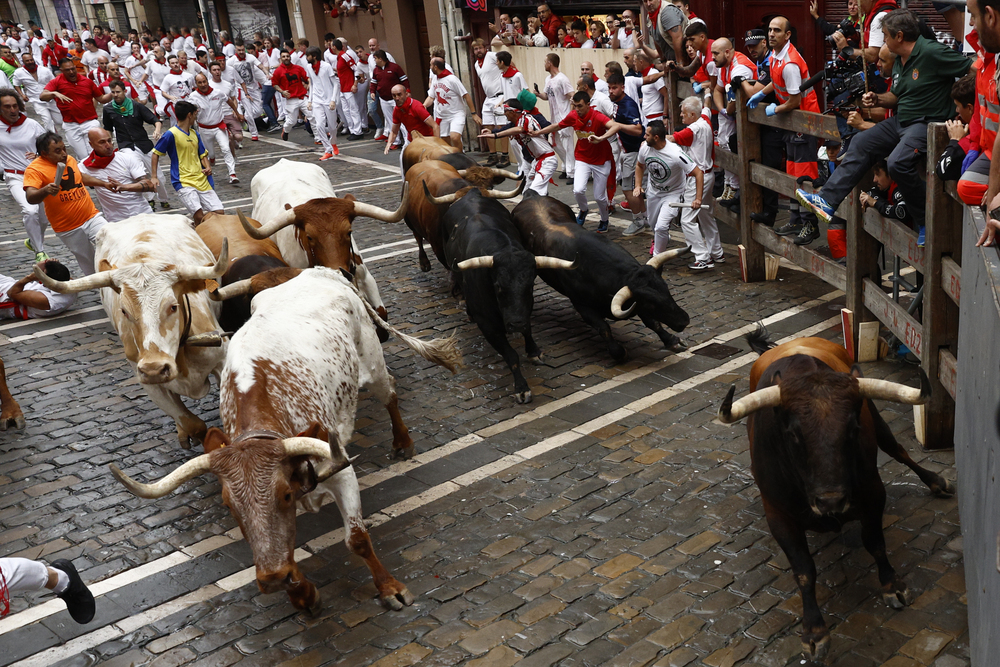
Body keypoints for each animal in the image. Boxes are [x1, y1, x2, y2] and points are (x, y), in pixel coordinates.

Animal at [33, 218, 229, 448]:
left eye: (173, 307)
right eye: (124, 311)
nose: (154, 368)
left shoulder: (223, 360)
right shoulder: (149, 383)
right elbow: (192, 424)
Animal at [111, 268, 462, 612]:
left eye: (285, 495)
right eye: (229, 505)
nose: (273, 579)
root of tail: (320, 271)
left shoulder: (341, 470)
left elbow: (357, 540)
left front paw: (390, 587)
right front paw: (301, 591)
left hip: (372, 360)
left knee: (389, 392)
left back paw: (402, 442)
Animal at [426, 188, 576, 402]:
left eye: (530, 285)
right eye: (498, 286)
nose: (515, 324)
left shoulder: (524, 310)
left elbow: (528, 330)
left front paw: (534, 351)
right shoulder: (487, 324)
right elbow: (511, 355)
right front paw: (521, 387)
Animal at [512, 190, 692, 362]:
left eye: (666, 289)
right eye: (651, 302)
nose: (684, 320)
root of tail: (532, 196)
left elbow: (653, 323)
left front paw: (672, 341)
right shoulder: (582, 304)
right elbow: (603, 328)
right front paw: (619, 353)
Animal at [720, 334, 952, 664]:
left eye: (852, 428)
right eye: (793, 434)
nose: (831, 501)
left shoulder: (873, 494)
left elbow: (875, 543)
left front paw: (892, 585)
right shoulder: (777, 515)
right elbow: (804, 570)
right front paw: (814, 631)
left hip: (880, 423)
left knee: (900, 451)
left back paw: (936, 481)